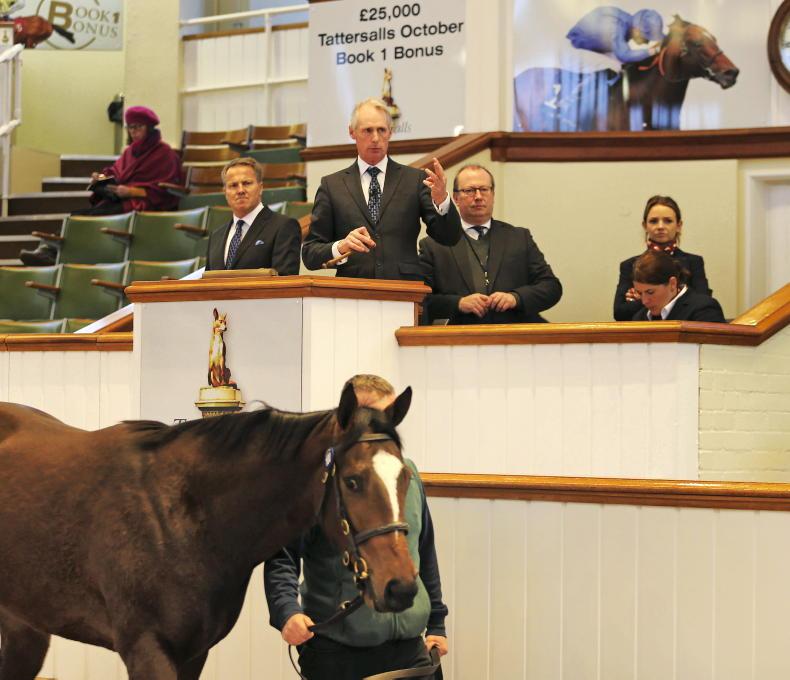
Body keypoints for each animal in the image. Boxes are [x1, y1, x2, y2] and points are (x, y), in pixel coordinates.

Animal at [0, 382, 417, 680]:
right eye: (352, 481)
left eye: (405, 477)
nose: (401, 587)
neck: (181, 517)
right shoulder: (146, 650)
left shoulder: (193, 654)